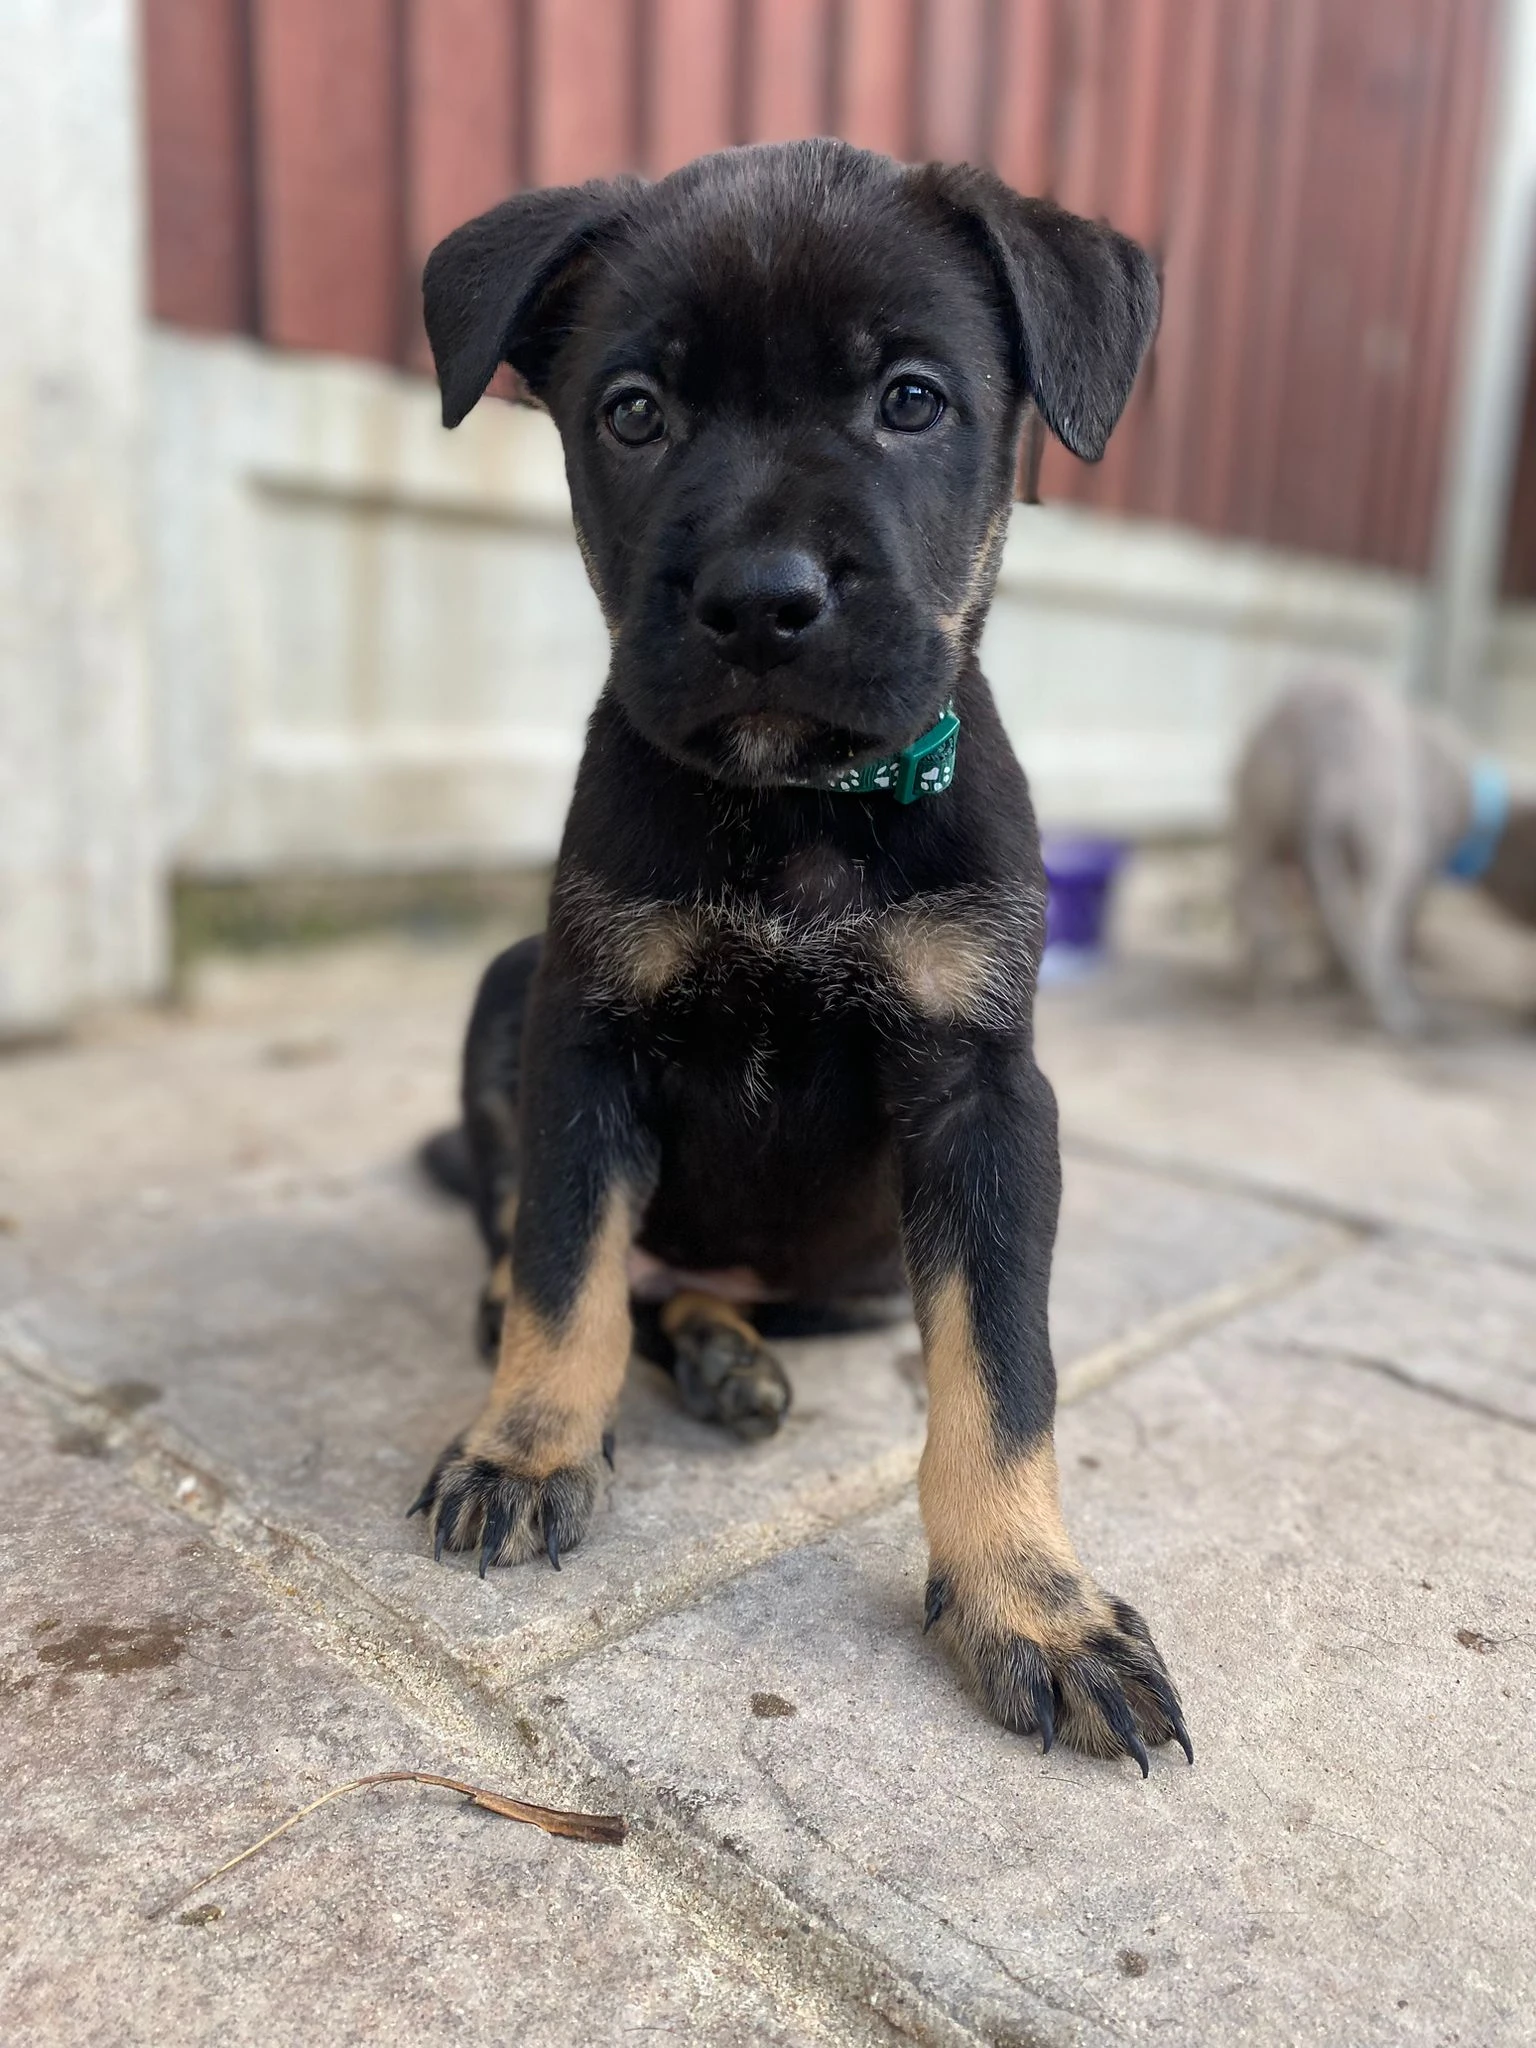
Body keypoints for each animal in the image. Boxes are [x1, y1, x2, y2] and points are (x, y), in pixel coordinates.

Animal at [411, 140, 1187, 1777]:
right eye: (634, 411)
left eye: (913, 398)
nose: (760, 601)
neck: (797, 808)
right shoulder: (582, 1032)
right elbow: (565, 1267)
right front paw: (527, 1446)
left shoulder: (984, 1099)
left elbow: (1001, 1373)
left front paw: (1035, 1605)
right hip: (506, 982)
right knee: (563, 1259)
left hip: (861, 1272)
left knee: (719, 1294)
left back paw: (729, 1354)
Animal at [1236, 675, 1536, 1032]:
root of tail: (1329, 770)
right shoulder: (1424, 856)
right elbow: (1407, 917)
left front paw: (1332, 974)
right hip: (1388, 833)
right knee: (1376, 927)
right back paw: (1397, 1011)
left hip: (1257, 809)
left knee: (1253, 898)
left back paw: (1270, 991)